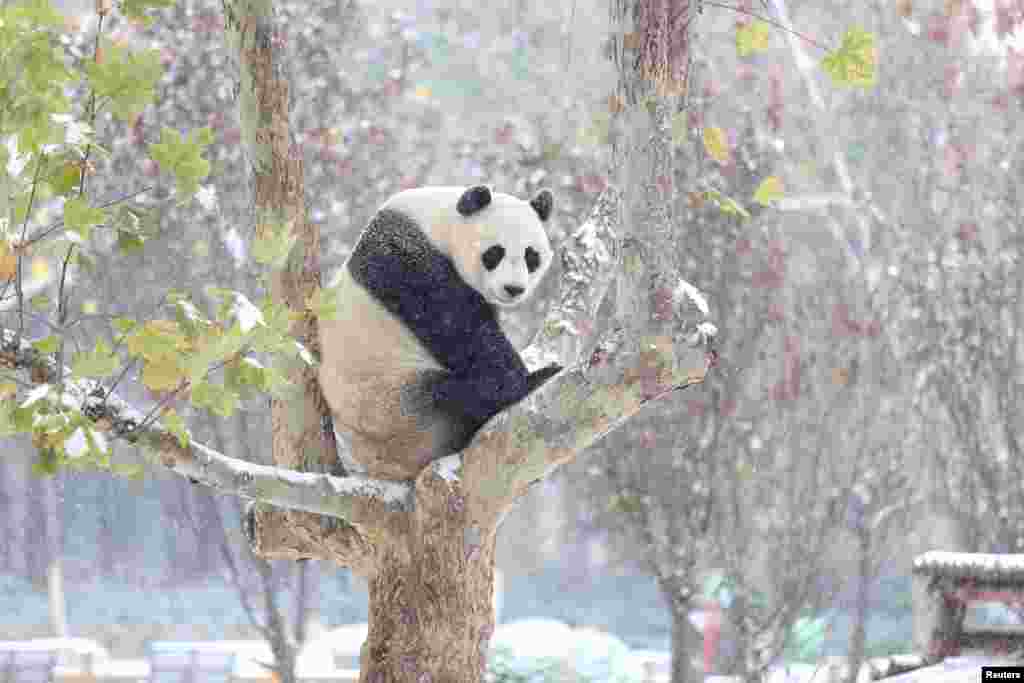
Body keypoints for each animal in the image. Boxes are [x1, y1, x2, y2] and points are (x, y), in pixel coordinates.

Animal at [319, 185, 562, 480]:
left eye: (531, 256)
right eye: (494, 253)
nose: (514, 289)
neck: (436, 223)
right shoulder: (408, 263)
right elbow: (463, 332)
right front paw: (524, 377)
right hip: (394, 406)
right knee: (456, 396)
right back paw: (533, 381)